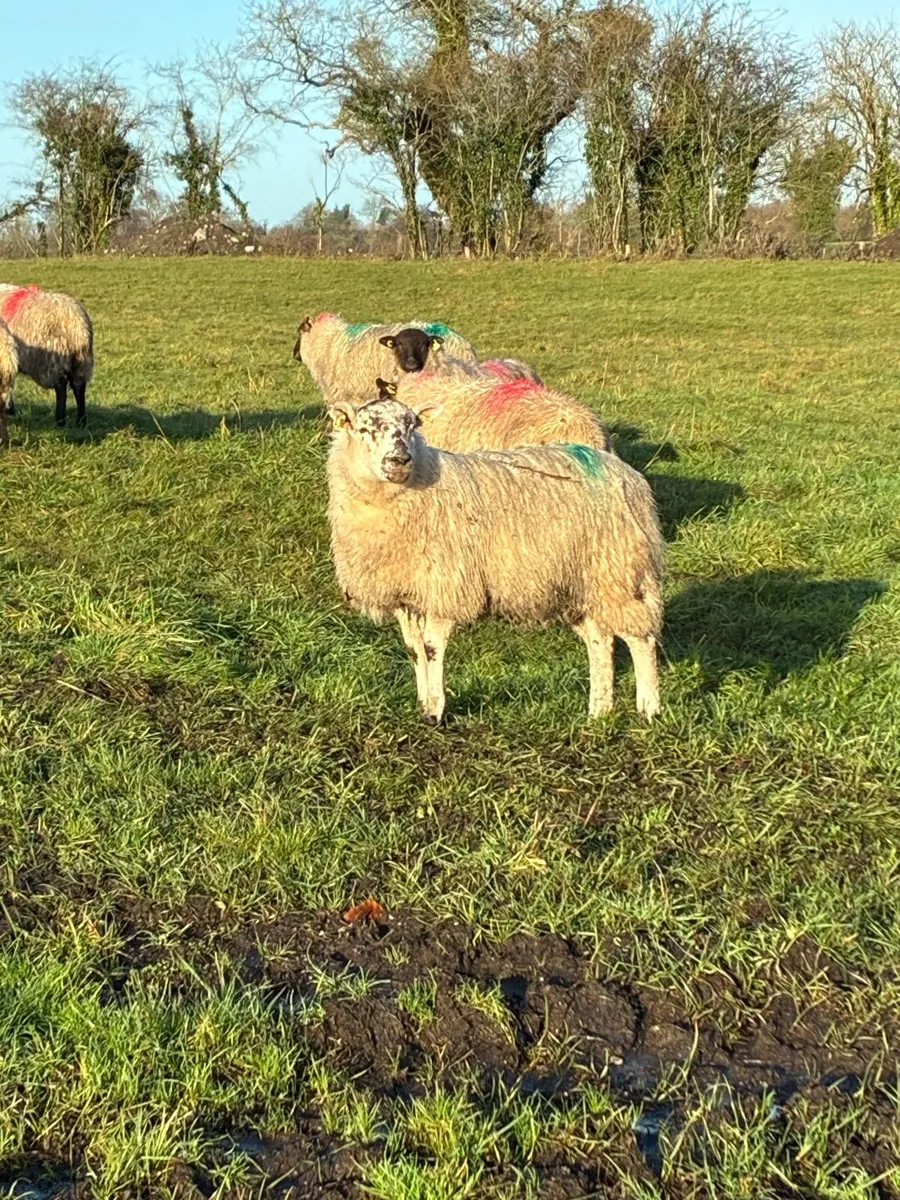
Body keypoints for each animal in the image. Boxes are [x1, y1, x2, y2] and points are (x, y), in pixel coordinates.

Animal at [0, 284, 94, 427]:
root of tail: (77, 327)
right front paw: (10, 410)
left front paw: (10, 410)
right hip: (82, 361)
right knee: (79, 387)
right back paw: (81, 422)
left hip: (51, 359)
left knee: (61, 387)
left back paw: (60, 421)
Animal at [327, 395, 663, 724]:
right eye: (363, 429)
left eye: (413, 426)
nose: (399, 460)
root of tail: (626, 473)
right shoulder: (405, 594)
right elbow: (413, 649)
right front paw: (423, 704)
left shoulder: (446, 586)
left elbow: (432, 648)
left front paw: (435, 711)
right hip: (583, 583)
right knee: (599, 641)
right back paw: (598, 712)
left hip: (620, 569)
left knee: (640, 638)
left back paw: (649, 708)